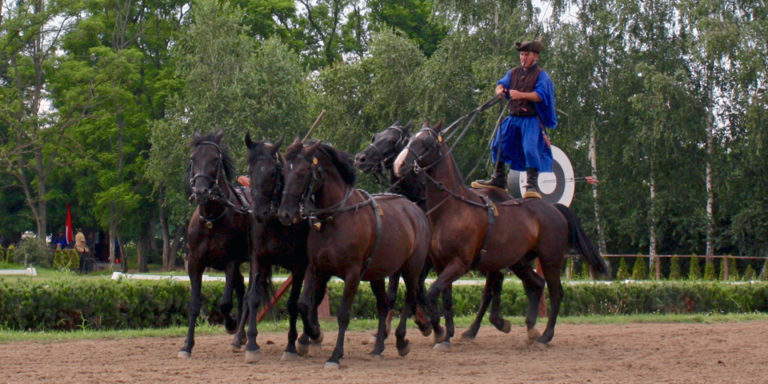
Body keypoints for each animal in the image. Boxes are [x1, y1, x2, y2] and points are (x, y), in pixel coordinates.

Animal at [179, 131, 249, 356]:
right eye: (193, 158)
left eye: (215, 159)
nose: (201, 191)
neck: (211, 219)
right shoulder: (195, 262)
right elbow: (194, 304)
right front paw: (187, 345)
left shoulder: (231, 261)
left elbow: (225, 303)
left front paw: (230, 324)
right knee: (241, 287)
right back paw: (241, 337)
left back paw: (238, 334)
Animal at [242, 135, 322, 364]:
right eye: (250, 170)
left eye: (272, 172)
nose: (259, 212)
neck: (276, 222)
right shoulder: (258, 258)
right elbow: (253, 297)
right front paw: (252, 344)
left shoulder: (299, 266)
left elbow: (294, 303)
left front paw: (291, 346)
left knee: (314, 297)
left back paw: (308, 337)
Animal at [278, 140, 436, 368]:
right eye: (283, 172)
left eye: (301, 172)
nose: (285, 213)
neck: (335, 218)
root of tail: (416, 211)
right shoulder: (316, 267)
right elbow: (304, 304)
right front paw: (311, 335)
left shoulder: (352, 273)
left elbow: (344, 314)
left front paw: (335, 355)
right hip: (377, 273)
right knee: (383, 304)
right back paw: (378, 347)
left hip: (411, 269)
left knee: (409, 298)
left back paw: (401, 341)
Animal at [356, 121, 516, 346]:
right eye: (375, 136)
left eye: (392, 140)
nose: (360, 158)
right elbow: (399, 291)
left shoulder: (425, 260)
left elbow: (414, 290)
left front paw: (428, 323)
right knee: (497, 279)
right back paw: (486, 323)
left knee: (494, 282)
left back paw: (482, 325)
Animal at [396, 121, 608, 346]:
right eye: (410, 139)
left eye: (425, 142)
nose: (400, 164)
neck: (452, 208)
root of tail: (554, 209)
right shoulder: (440, 263)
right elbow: (445, 298)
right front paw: (444, 333)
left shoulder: (459, 264)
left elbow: (433, 292)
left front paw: (437, 328)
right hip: (519, 261)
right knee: (536, 284)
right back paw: (530, 328)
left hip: (551, 259)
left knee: (555, 292)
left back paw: (545, 335)